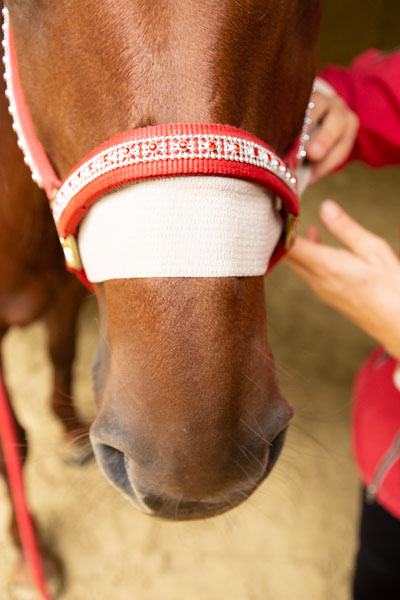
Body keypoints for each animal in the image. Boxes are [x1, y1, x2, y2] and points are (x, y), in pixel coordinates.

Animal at [0, 0, 318, 592]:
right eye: (22, 7)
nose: (195, 470)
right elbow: (13, 446)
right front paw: (32, 554)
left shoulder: (66, 290)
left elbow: (62, 352)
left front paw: (70, 429)